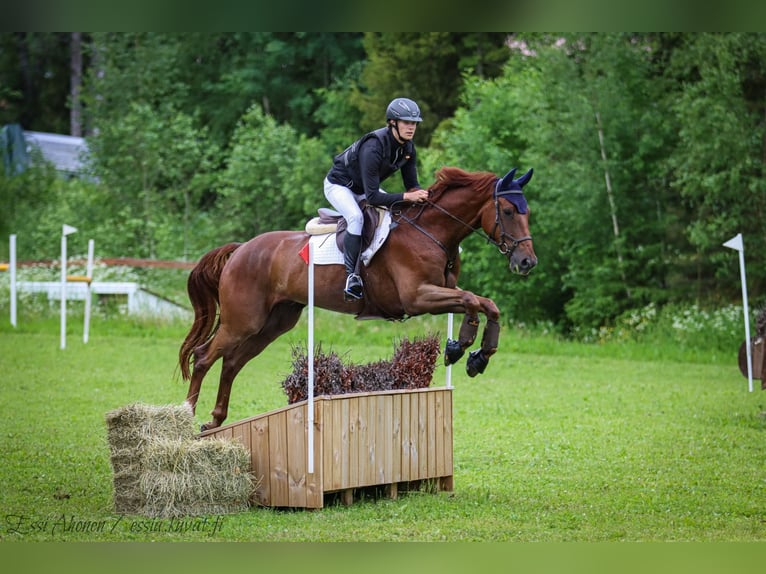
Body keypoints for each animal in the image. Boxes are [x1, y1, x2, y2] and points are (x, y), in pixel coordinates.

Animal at [179, 166, 537, 430]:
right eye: (507, 211)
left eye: (527, 212)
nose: (527, 262)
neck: (431, 232)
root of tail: (240, 249)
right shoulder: (418, 297)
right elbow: (472, 301)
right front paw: (459, 347)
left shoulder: (439, 293)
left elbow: (487, 304)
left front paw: (479, 355)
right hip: (244, 320)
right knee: (204, 356)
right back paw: (187, 414)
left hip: (274, 323)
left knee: (232, 362)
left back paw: (215, 420)